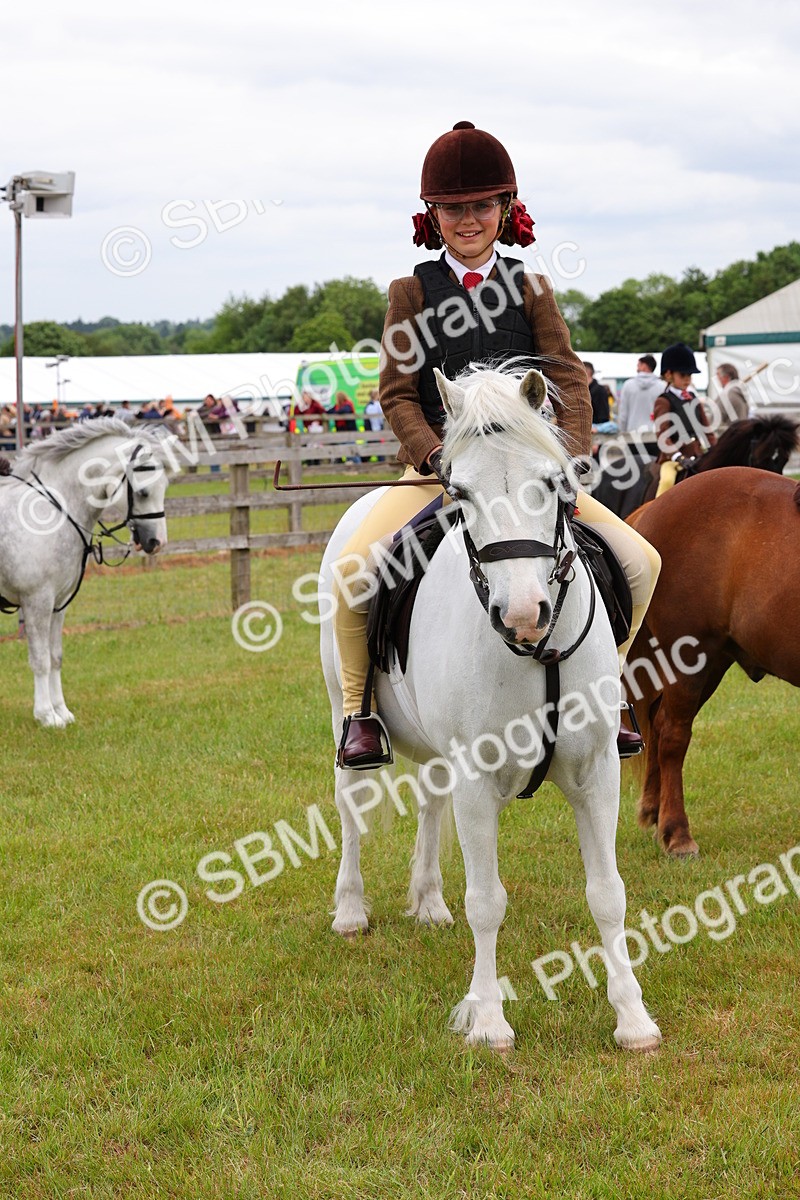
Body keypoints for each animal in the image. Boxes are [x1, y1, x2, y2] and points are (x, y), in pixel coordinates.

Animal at [0, 418, 170, 727]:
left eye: (165, 486)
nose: (157, 542)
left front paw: (62, 711)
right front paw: (46, 715)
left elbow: (55, 656)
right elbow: (40, 659)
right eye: (143, 492)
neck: (48, 510)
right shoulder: (36, 601)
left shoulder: (58, 604)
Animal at [319, 365, 661, 1052]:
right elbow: (487, 900)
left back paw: (428, 902)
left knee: (428, 800)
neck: (539, 650)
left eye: (552, 483)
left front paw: (632, 1018)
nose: (523, 613)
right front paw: (487, 1020)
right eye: (461, 493)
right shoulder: (478, 784)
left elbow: (608, 893)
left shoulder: (598, 774)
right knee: (351, 804)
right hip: (344, 708)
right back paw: (350, 909)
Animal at [624, 467, 800, 857]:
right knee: (673, 735)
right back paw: (676, 833)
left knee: (658, 724)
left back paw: (656, 812)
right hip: (689, 658)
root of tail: (656, 505)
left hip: (714, 661)